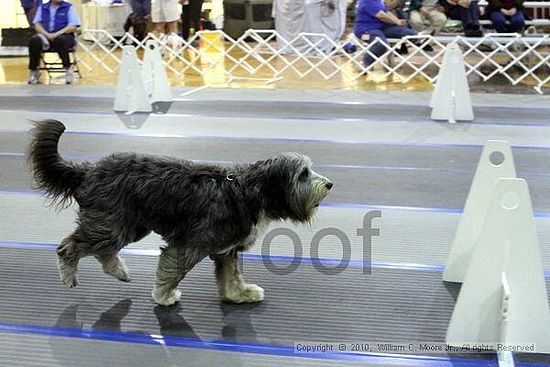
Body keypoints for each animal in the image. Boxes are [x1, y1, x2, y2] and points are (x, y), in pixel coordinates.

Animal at [28, 119, 334, 306]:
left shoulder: (226, 250)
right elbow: (172, 269)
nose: (329, 184)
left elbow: (231, 276)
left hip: (128, 226)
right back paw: (69, 274)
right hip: (111, 223)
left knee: (104, 251)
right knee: (69, 247)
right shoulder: (191, 245)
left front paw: (239, 294)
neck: (246, 192)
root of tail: (88, 170)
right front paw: (164, 295)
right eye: (303, 173)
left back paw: (119, 272)